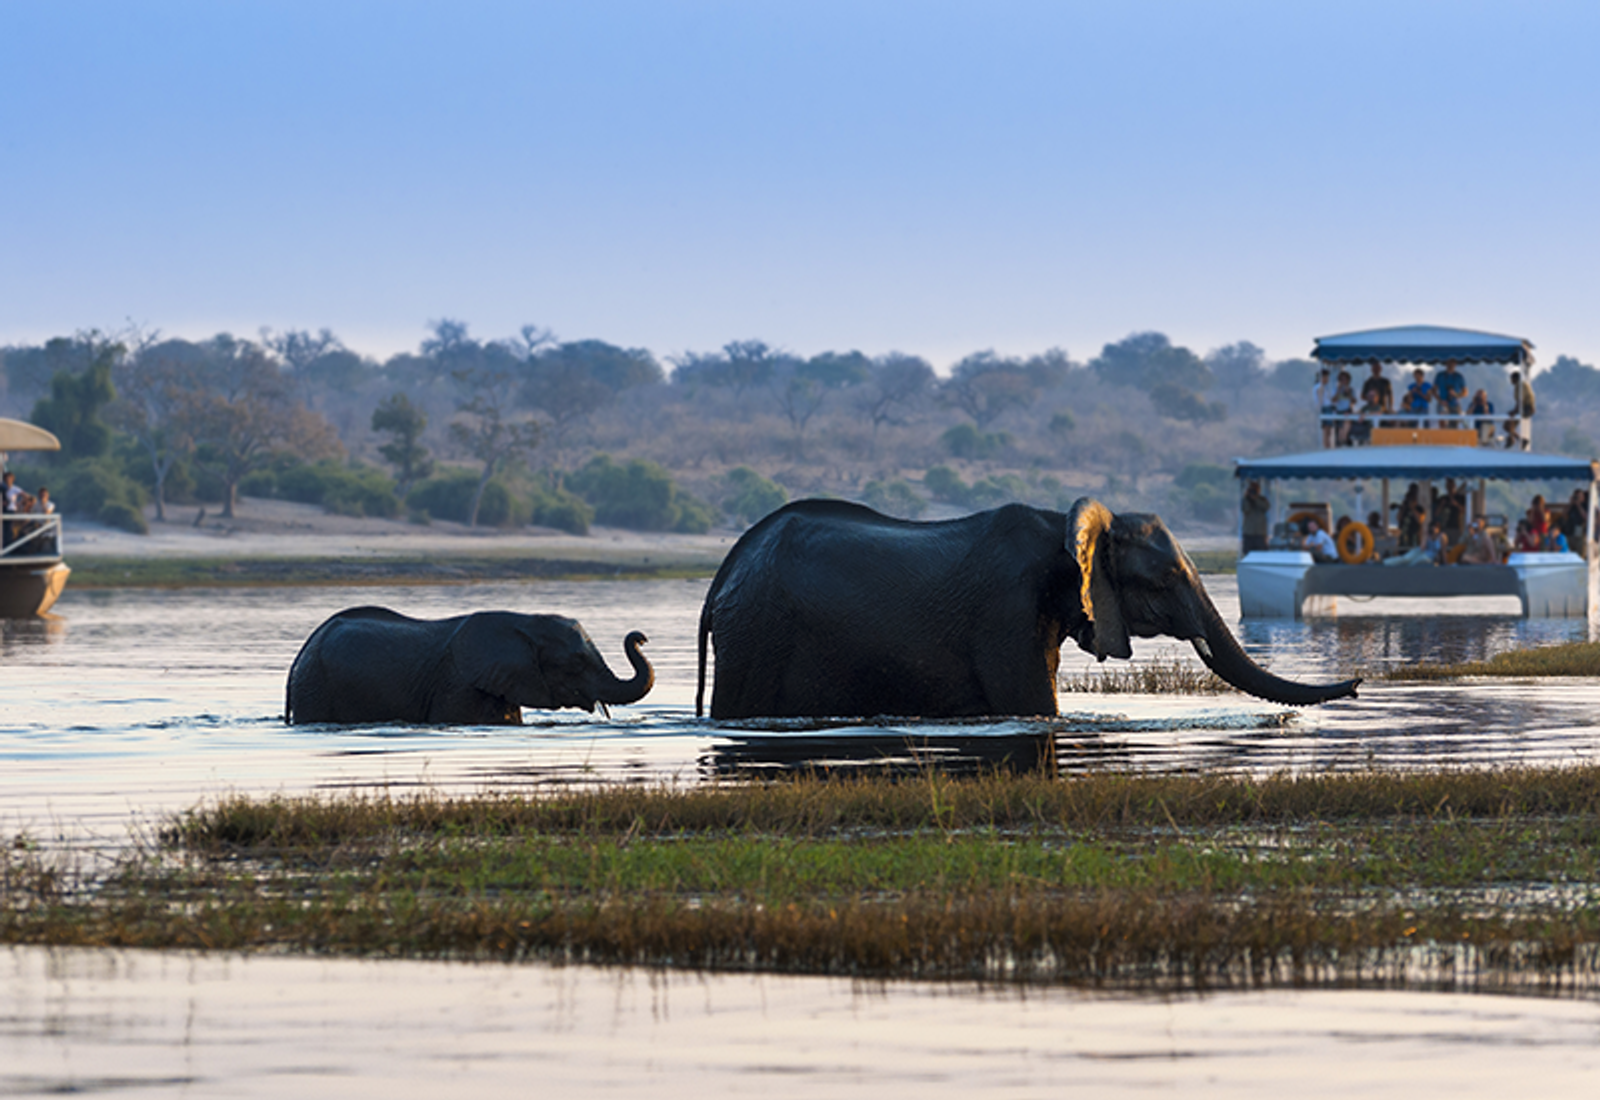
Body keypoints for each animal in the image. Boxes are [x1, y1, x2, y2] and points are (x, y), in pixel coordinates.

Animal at [696, 498, 1359, 720]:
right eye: (1168, 577)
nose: (1356, 684)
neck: (1065, 526)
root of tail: (727, 568)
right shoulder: (1005, 612)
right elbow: (1036, 707)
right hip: (757, 632)